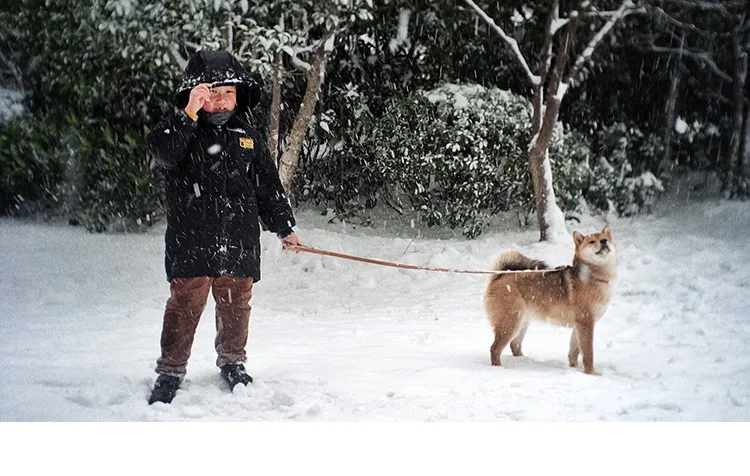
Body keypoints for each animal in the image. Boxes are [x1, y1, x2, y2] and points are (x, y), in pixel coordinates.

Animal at [484, 225, 620, 374]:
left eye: (605, 238)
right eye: (591, 242)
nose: (603, 242)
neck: (592, 277)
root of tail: (500, 275)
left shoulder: (579, 325)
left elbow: (574, 351)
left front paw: (574, 368)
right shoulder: (586, 323)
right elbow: (588, 353)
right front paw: (591, 374)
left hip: (521, 322)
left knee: (515, 345)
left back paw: (524, 361)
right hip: (509, 322)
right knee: (494, 348)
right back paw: (498, 367)